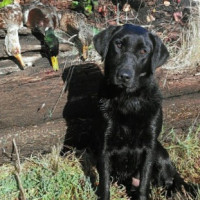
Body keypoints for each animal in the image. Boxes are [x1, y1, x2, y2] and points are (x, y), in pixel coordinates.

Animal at [92, 24, 197, 200]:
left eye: (143, 51)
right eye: (118, 44)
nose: (124, 76)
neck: (129, 100)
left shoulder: (150, 146)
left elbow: (144, 182)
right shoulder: (105, 145)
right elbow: (104, 183)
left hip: (160, 152)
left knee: (169, 180)